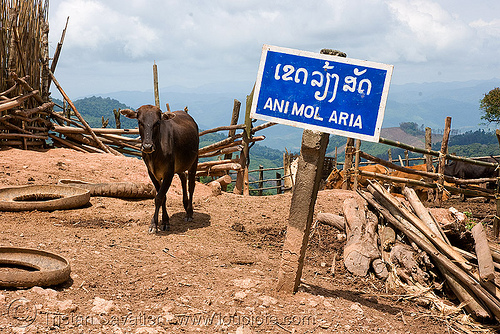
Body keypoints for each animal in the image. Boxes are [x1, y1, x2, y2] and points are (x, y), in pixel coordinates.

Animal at [121, 104, 199, 232]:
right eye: (139, 121)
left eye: (157, 122)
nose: (147, 146)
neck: (155, 154)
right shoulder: (152, 173)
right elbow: (163, 197)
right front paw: (165, 221)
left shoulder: (169, 173)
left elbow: (159, 197)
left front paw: (153, 224)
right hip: (179, 165)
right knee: (183, 177)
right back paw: (185, 203)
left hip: (194, 160)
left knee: (191, 185)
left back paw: (189, 213)